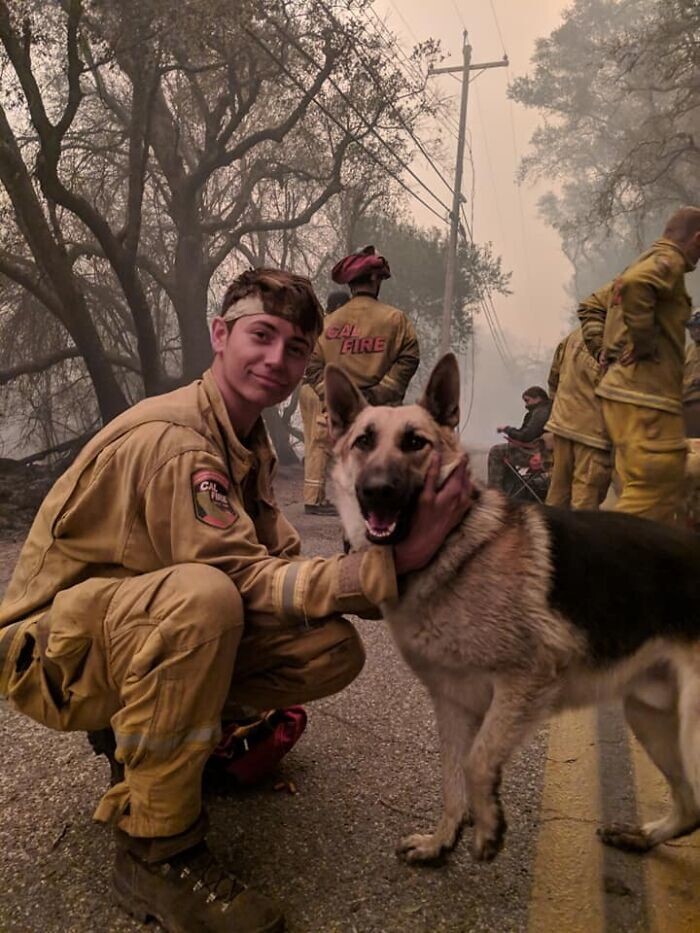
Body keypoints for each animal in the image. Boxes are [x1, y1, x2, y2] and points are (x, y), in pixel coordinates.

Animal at [324, 354, 700, 864]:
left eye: (415, 443)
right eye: (363, 442)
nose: (377, 490)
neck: (451, 547)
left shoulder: (525, 681)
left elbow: (478, 761)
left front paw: (487, 826)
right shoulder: (452, 703)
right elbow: (452, 776)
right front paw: (442, 839)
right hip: (651, 718)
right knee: (690, 806)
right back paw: (640, 837)